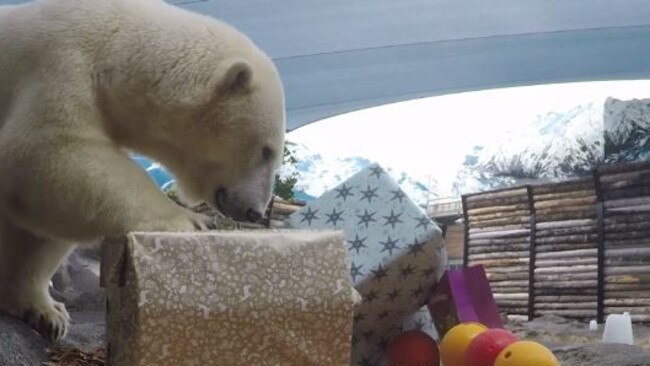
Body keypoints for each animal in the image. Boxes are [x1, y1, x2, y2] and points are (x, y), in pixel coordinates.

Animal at [0, 0, 286, 340]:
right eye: (267, 150)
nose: (255, 211)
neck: (111, 44)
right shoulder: (59, 65)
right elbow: (45, 151)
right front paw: (192, 220)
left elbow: (41, 229)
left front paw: (46, 312)